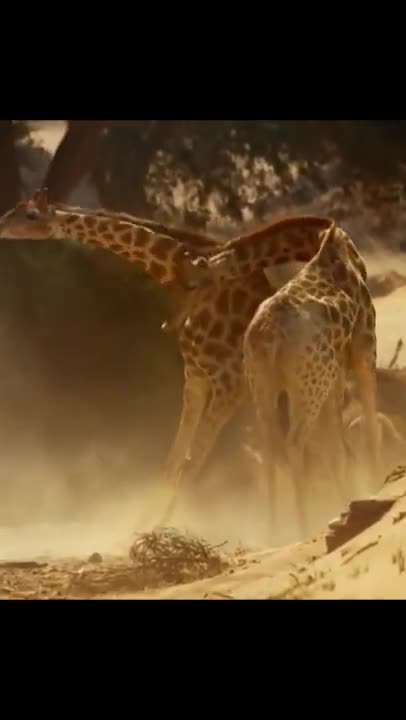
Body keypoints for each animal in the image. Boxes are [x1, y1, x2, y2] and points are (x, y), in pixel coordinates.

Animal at [208, 222, 379, 537]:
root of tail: (269, 334)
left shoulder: (333, 373)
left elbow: (336, 445)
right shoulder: (364, 349)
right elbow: (366, 426)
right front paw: (374, 480)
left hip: (265, 382)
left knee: (270, 447)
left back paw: (274, 529)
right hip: (308, 383)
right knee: (295, 441)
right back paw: (304, 524)